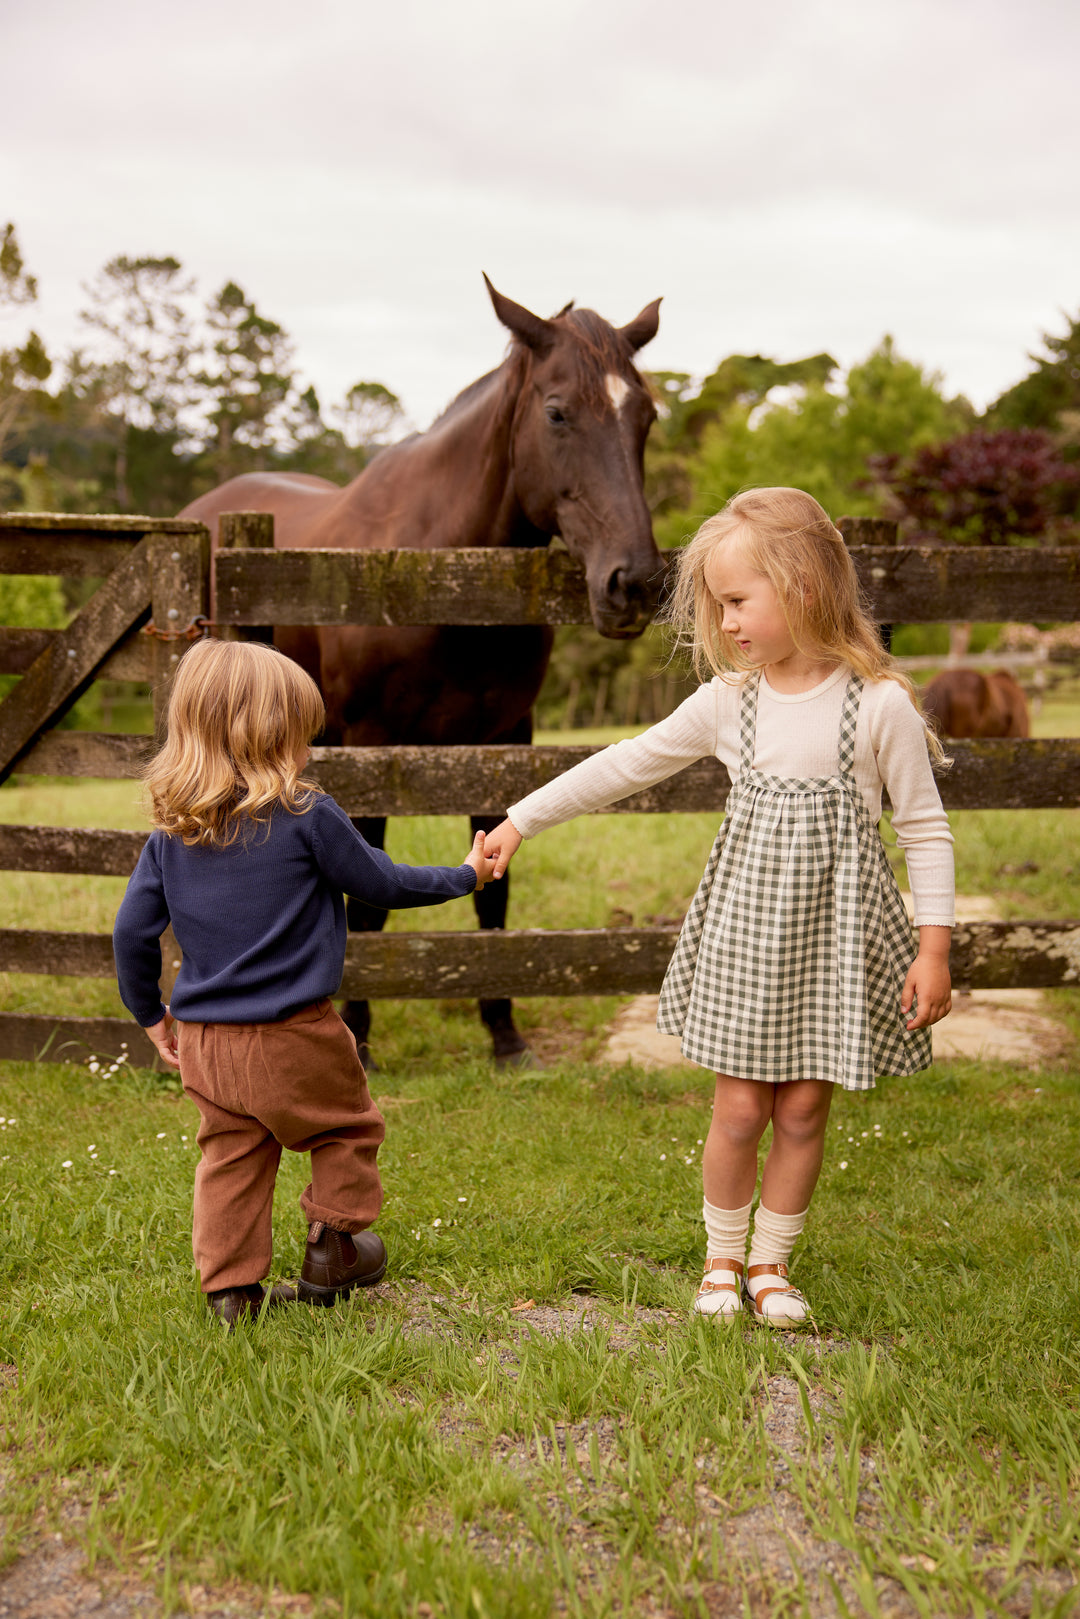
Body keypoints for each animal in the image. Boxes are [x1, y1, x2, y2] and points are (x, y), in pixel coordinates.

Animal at [181, 278, 663, 1062]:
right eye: (557, 412)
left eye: (645, 416)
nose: (636, 583)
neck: (437, 573)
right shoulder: (373, 745)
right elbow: (367, 905)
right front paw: (357, 1035)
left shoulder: (503, 740)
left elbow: (494, 888)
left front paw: (504, 1033)